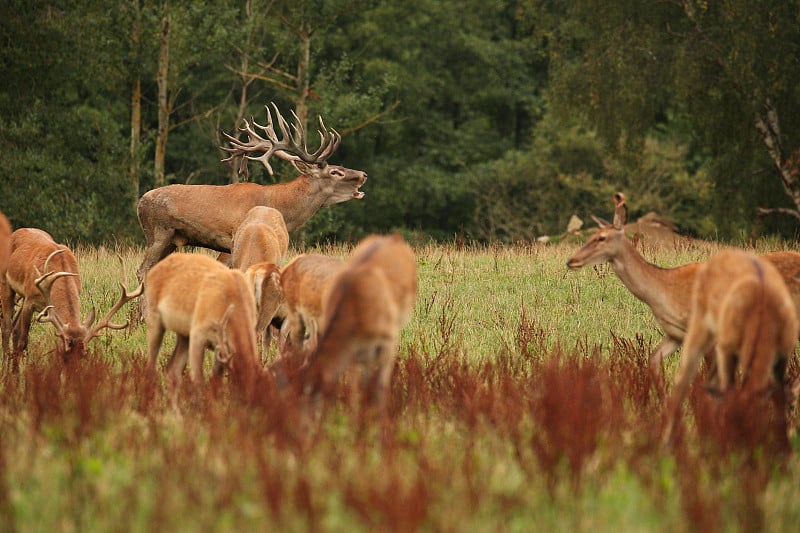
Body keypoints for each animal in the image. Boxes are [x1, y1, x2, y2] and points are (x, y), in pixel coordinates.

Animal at [0, 227, 142, 364]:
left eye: (84, 355)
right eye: (66, 354)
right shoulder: (30, 299)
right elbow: (23, 341)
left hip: (23, 297)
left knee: (15, 328)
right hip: (6, 284)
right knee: (7, 328)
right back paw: (6, 364)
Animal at [135, 102, 368, 298]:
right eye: (336, 172)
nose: (363, 174)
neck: (279, 205)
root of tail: (140, 202)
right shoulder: (231, 240)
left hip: (171, 240)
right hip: (158, 232)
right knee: (142, 270)